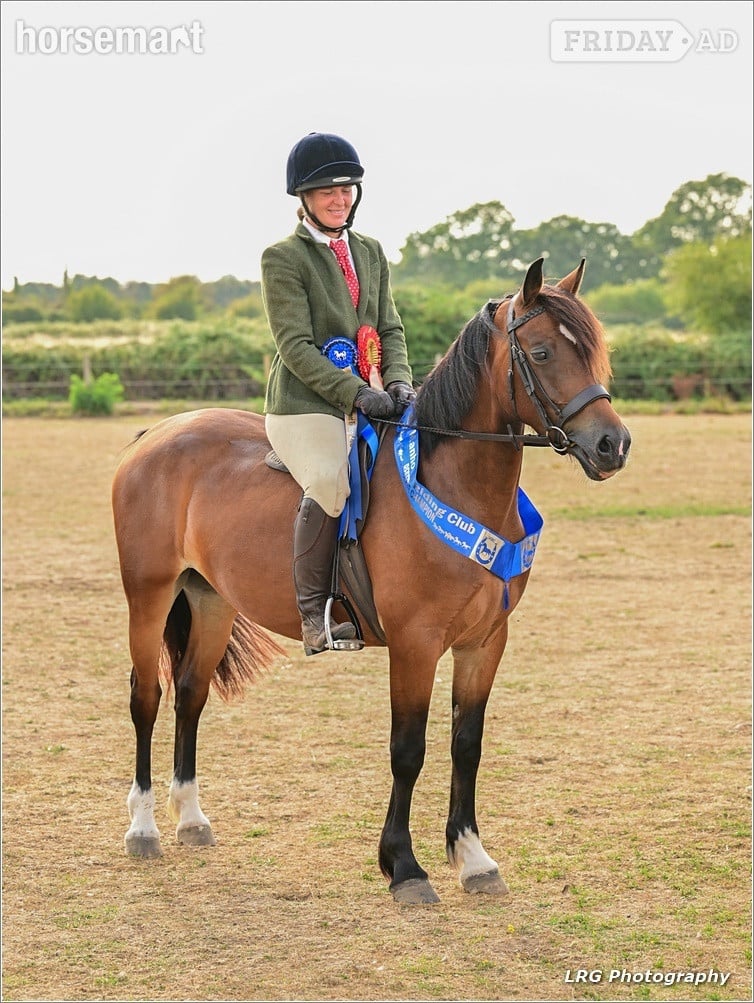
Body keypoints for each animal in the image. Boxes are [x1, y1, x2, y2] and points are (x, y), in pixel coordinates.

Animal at [111, 257, 631, 905]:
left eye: (593, 351)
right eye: (540, 352)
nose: (612, 444)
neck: (454, 485)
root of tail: (153, 436)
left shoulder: (485, 641)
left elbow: (467, 744)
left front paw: (474, 858)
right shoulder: (414, 644)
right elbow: (408, 750)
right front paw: (404, 867)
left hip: (210, 601)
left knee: (189, 694)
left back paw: (191, 819)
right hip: (149, 595)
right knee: (147, 697)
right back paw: (144, 828)